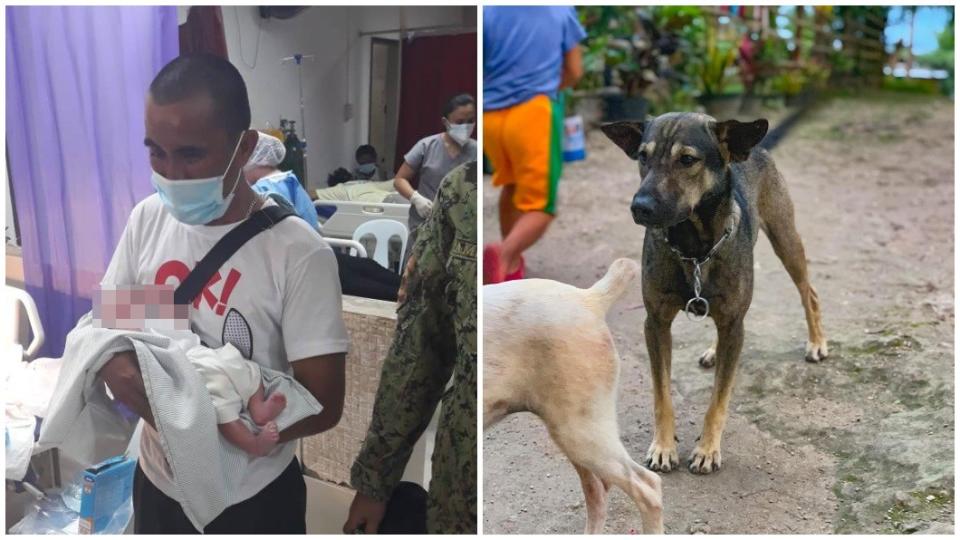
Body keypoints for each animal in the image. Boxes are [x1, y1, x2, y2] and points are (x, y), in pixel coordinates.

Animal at [600, 113, 824, 472]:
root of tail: (755, 146)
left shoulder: (732, 321)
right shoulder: (656, 323)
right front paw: (663, 446)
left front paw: (707, 449)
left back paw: (817, 342)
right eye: (642, 157)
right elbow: (662, 395)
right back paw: (714, 351)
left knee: (809, 292)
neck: (694, 245)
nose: (639, 207)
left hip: (785, 237)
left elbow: (718, 399)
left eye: (687, 159)